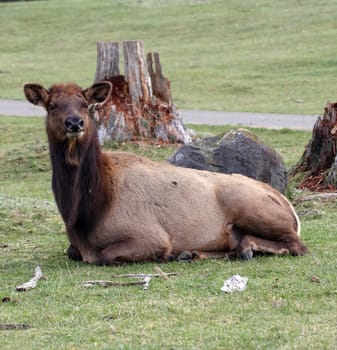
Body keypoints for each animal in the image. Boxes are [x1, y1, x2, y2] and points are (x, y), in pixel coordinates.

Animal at [23, 80, 308, 264]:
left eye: (84, 104)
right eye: (52, 105)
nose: (74, 123)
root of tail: (290, 208)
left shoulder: (151, 235)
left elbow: (104, 256)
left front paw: (166, 254)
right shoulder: (75, 244)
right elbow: (71, 251)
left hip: (251, 206)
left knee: (297, 246)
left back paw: (246, 247)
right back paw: (195, 253)